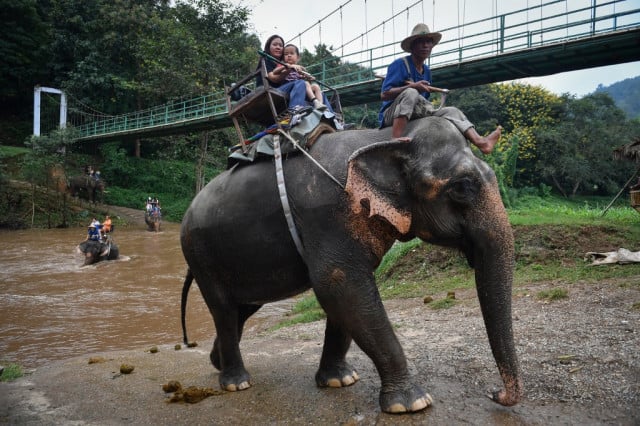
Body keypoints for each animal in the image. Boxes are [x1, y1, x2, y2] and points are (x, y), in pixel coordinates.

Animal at [179, 115, 520, 412]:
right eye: (462, 187)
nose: (495, 394)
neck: (383, 138)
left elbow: (342, 298)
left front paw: (339, 380)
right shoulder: (327, 215)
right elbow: (340, 285)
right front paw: (412, 403)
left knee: (243, 307)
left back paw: (219, 364)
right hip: (198, 252)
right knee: (223, 307)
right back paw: (236, 383)